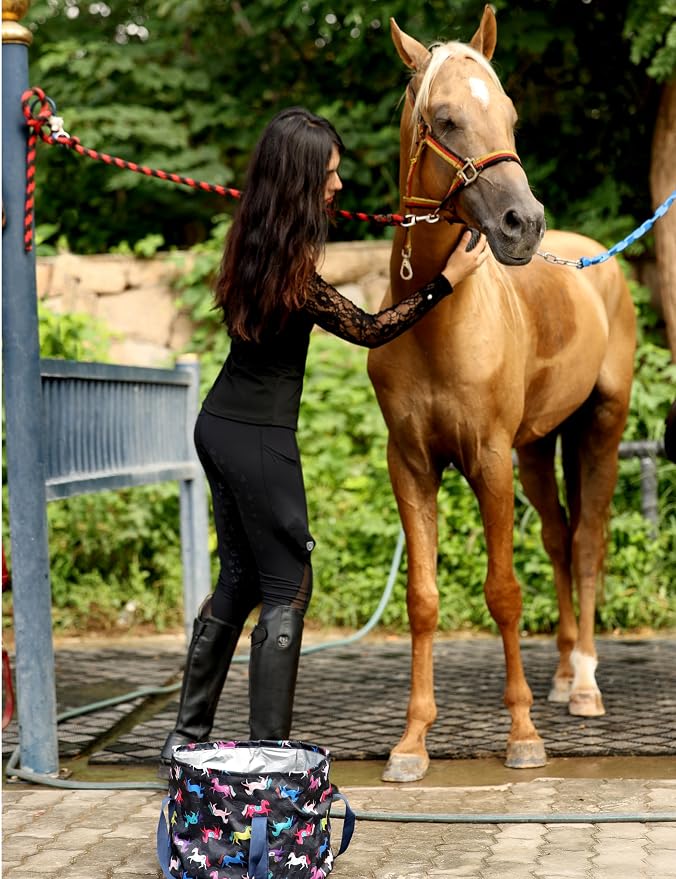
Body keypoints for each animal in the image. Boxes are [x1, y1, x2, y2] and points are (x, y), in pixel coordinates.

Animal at [366, 5, 636, 782]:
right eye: (447, 119)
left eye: (511, 115)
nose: (524, 223)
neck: (437, 319)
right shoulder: (411, 464)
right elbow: (423, 599)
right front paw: (411, 742)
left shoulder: (487, 460)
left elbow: (504, 592)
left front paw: (523, 734)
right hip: (539, 448)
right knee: (559, 536)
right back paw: (563, 675)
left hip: (601, 427)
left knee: (588, 541)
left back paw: (585, 686)